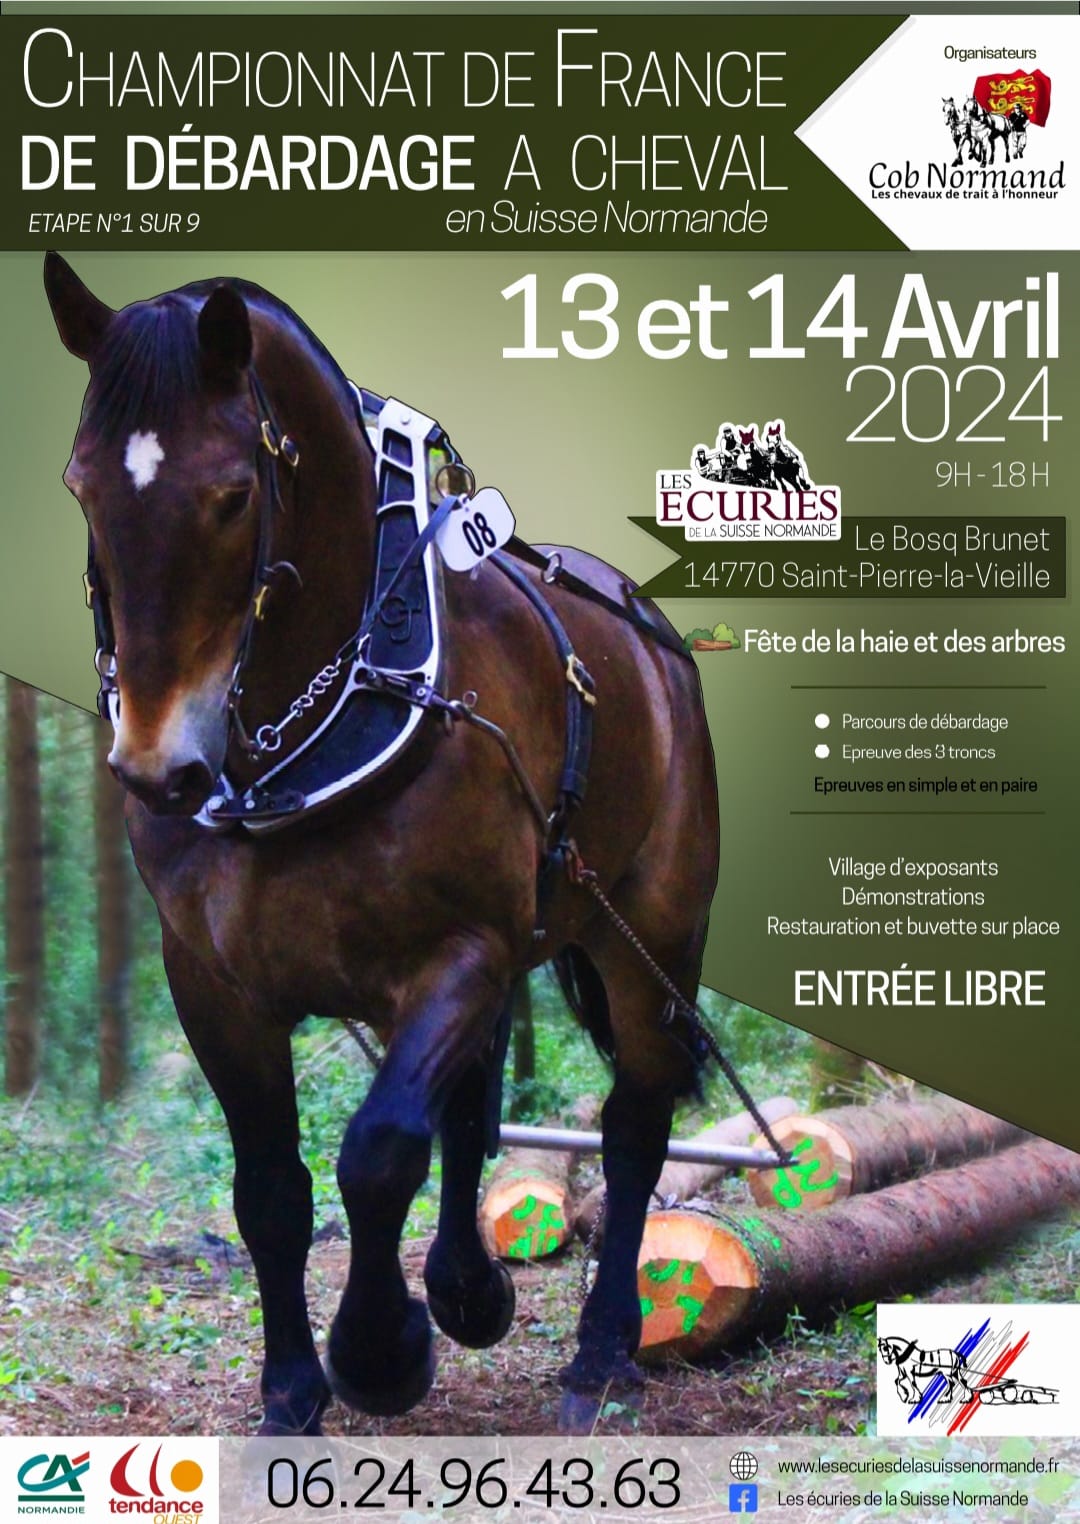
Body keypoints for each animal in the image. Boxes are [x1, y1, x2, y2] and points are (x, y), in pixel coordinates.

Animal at [44, 254, 720, 1436]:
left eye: (233, 494)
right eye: (85, 487)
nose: (161, 770)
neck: (292, 747)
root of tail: (649, 629)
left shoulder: (461, 954)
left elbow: (378, 1149)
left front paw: (379, 1351)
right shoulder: (210, 983)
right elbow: (272, 1189)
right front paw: (292, 1390)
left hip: (653, 938)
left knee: (633, 1123)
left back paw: (600, 1351)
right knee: (475, 1103)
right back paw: (468, 1285)